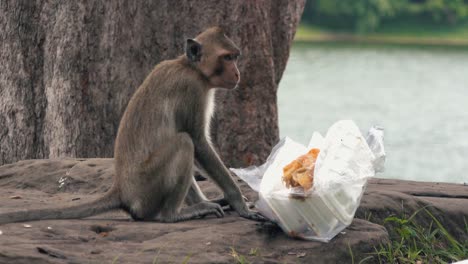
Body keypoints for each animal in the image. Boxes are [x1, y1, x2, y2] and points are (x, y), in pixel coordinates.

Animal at [0, 26, 264, 224]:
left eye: (235, 57)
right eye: (227, 58)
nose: (237, 74)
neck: (189, 67)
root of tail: (122, 190)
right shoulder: (192, 90)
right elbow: (198, 142)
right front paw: (239, 204)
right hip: (147, 187)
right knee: (184, 142)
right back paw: (173, 214)